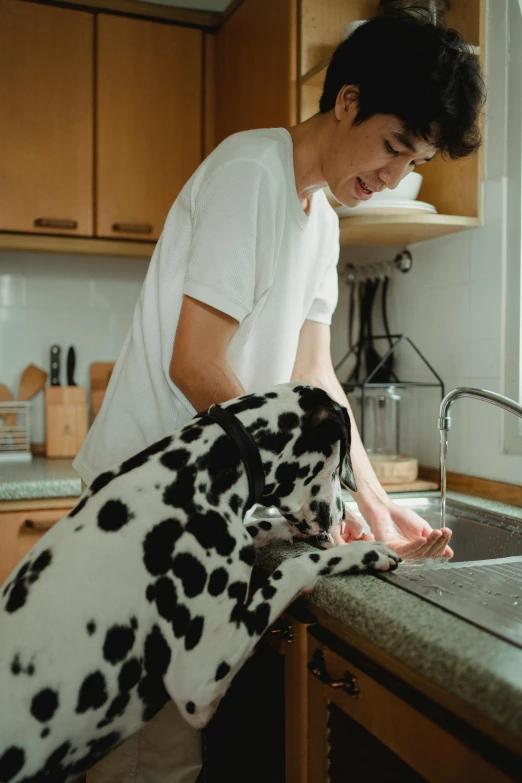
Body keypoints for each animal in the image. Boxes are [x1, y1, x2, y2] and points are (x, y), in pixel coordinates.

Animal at [0, 382, 398, 780]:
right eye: (338, 468)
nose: (342, 515)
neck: (203, 468)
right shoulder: (200, 679)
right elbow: (294, 569)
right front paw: (365, 551)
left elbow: (262, 527)